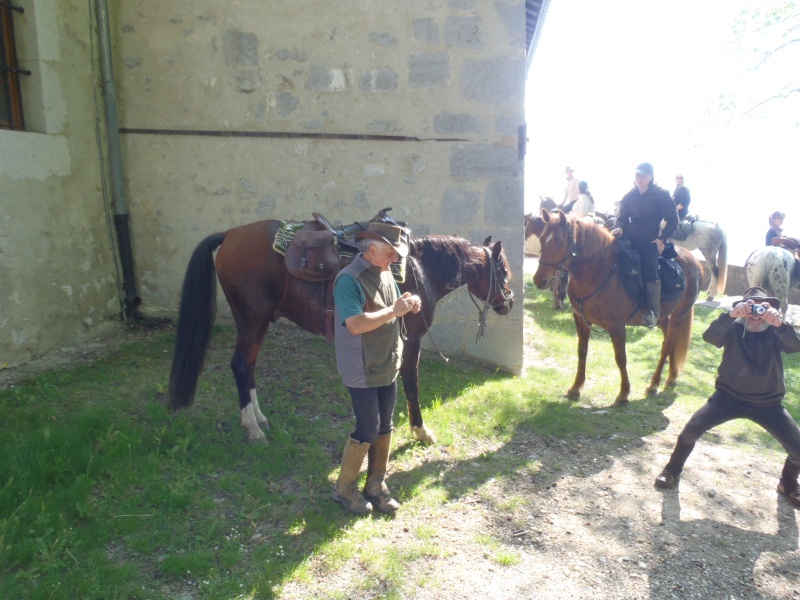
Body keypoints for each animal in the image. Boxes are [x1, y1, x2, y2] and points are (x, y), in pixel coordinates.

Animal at [169, 217, 512, 446]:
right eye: (505, 271)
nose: (508, 303)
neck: (420, 268)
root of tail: (230, 234)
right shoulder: (411, 339)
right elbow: (412, 383)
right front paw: (420, 430)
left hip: (254, 325)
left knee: (248, 367)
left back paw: (260, 418)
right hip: (253, 321)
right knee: (241, 366)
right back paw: (252, 428)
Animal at [536, 209, 700, 406]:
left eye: (559, 242)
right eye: (541, 238)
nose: (539, 280)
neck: (600, 271)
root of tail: (694, 260)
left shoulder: (617, 326)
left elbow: (621, 358)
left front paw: (623, 394)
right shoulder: (581, 320)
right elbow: (582, 351)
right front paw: (575, 389)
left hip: (679, 315)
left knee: (667, 346)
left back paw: (653, 385)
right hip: (663, 318)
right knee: (670, 342)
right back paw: (671, 378)